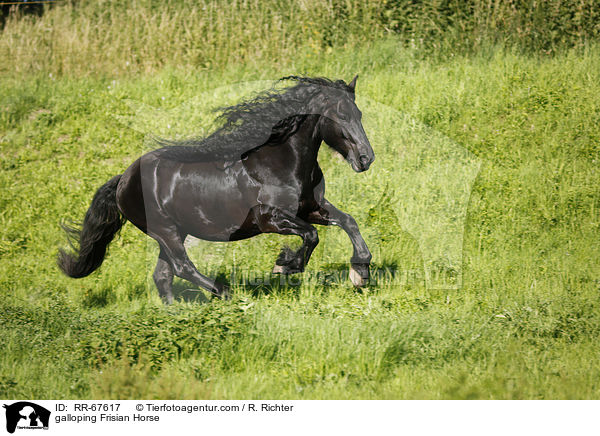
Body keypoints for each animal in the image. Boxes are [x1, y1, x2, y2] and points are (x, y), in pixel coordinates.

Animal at [57, 76, 376, 304]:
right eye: (341, 115)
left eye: (359, 113)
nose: (366, 159)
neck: (282, 162)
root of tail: (123, 179)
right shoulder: (271, 219)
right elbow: (311, 236)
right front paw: (285, 265)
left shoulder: (311, 208)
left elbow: (348, 222)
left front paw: (359, 273)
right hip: (164, 230)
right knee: (181, 267)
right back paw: (223, 293)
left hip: (174, 231)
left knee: (163, 275)